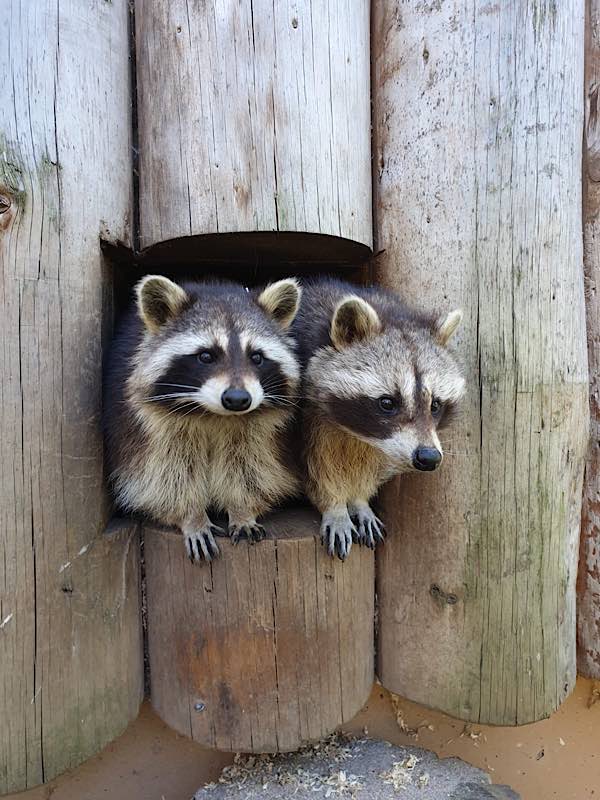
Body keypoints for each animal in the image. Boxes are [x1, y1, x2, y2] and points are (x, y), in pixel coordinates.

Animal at [104, 276, 304, 564]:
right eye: (206, 356)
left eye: (257, 357)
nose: (237, 399)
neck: (215, 415)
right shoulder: (146, 423)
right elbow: (164, 474)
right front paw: (191, 516)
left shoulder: (260, 427)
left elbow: (250, 466)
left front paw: (242, 509)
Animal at [290, 278, 464, 560]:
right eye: (387, 403)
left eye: (435, 405)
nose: (428, 458)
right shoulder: (305, 414)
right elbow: (315, 463)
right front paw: (334, 505)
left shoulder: (384, 444)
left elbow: (371, 462)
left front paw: (359, 500)